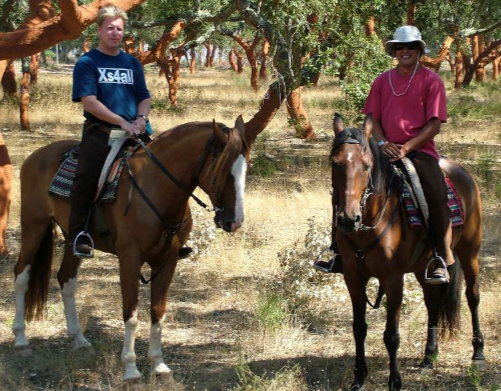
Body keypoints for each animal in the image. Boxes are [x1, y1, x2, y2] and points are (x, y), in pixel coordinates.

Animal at [13, 116, 250, 382]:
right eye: (223, 170)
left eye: (246, 168)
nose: (235, 222)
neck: (157, 189)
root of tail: (36, 155)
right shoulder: (129, 259)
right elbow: (131, 313)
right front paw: (130, 368)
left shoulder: (167, 261)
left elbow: (158, 311)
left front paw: (159, 364)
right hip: (34, 225)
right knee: (21, 275)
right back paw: (21, 340)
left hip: (72, 238)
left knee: (66, 279)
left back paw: (79, 339)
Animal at [330, 115, 482, 391]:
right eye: (336, 164)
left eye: (366, 167)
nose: (348, 219)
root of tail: (461, 172)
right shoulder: (352, 277)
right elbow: (359, 328)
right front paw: (359, 378)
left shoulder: (393, 279)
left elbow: (391, 335)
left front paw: (395, 381)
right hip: (426, 266)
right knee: (433, 302)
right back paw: (429, 356)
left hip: (469, 252)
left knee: (472, 297)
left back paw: (478, 353)